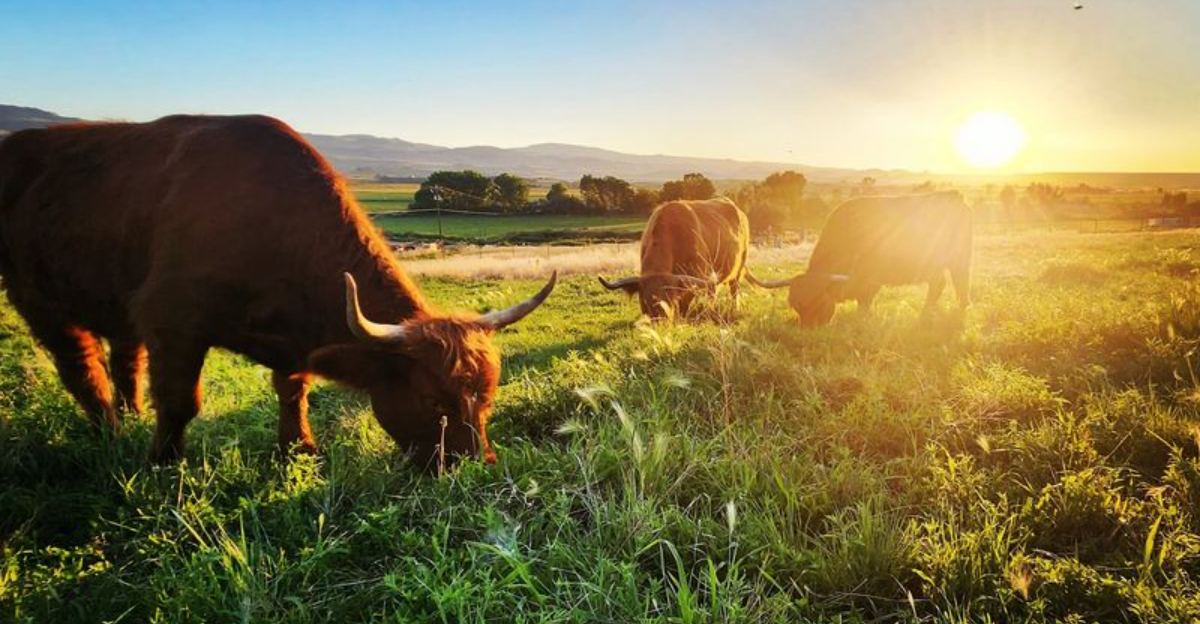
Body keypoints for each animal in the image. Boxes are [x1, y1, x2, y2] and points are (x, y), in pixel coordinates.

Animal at [0, 114, 555, 468]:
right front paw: (162, 464)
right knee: (82, 369)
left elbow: (293, 390)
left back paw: (131, 418)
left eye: (487, 397)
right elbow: (180, 402)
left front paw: (299, 449)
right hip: (37, 298)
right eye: (432, 400)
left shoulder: (290, 339)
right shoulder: (172, 321)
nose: (475, 465)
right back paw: (111, 434)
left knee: (123, 360)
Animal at [599, 197, 751, 319]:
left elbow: (684, 304)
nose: (659, 322)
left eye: (668, 301)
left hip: (739, 265)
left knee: (731, 290)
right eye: (644, 302)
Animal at [748, 191, 972, 327]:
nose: (809, 331)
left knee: (949, 285)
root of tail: (953, 196)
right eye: (795, 304)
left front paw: (864, 320)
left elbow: (865, 303)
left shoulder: (870, 280)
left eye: (820, 301)